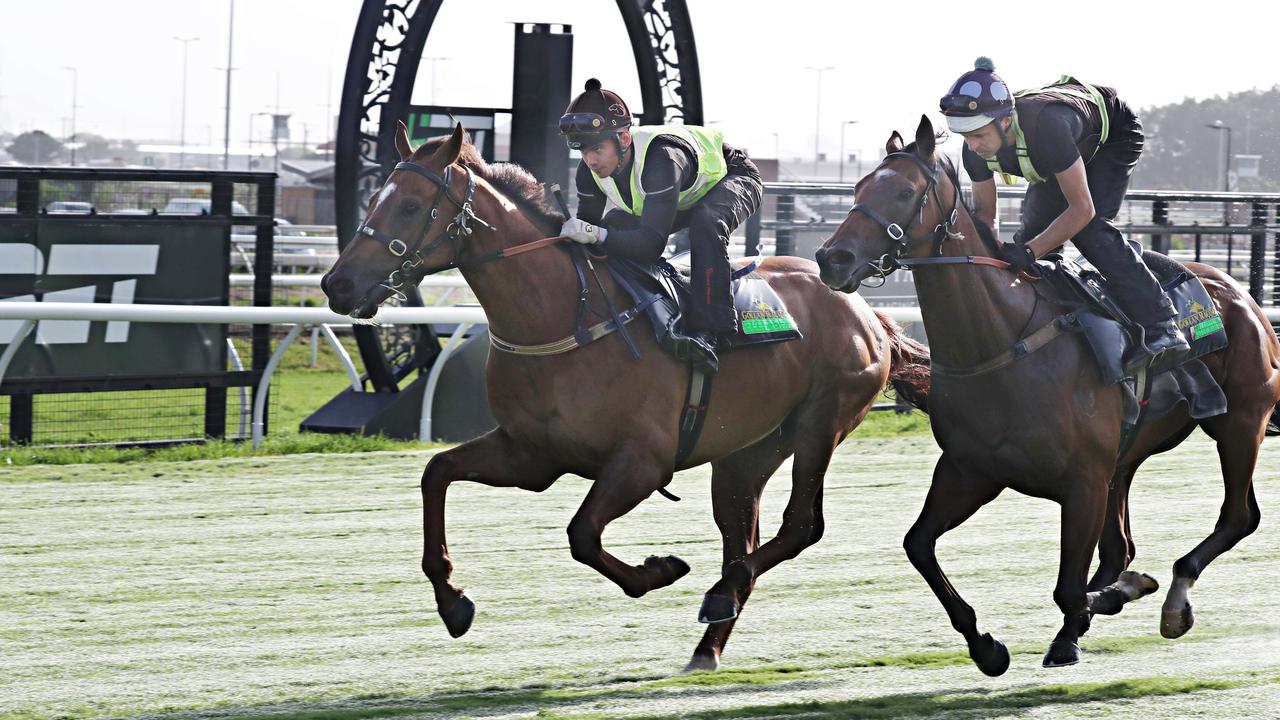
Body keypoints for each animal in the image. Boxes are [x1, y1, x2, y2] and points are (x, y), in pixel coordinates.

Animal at [317, 121, 931, 666]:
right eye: (374, 198)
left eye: (410, 206)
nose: (337, 284)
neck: (562, 315)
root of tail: (866, 311)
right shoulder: (530, 454)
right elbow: (436, 473)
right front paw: (452, 601)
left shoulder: (642, 461)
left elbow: (582, 534)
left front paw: (660, 570)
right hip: (746, 453)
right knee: (745, 539)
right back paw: (708, 643)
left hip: (818, 424)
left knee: (799, 527)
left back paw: (719, 593)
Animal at [814, 114, 1280, 676]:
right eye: (859, 187)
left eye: (904, 192)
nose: (831, 258)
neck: (1002, 342)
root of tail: (1241, 296)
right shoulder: (971, 469)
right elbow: (919, 545)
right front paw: (986, 646)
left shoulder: (1083, 481)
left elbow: (1069, 588)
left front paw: (1095, 615)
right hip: (1127, 458)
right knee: (1122, 547)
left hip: (1240, 422)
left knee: (1237, 517)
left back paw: (1171, 600)